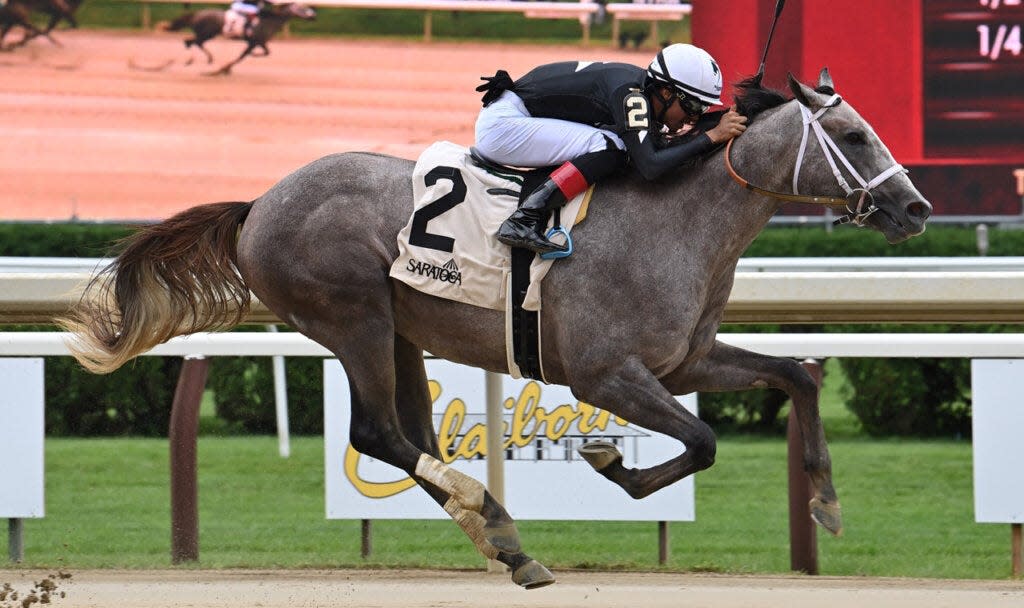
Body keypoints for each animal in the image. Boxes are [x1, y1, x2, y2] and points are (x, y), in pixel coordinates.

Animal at [61, 72, 929, 585]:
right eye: (854, 137)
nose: (915, 207)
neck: (678, 221)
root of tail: (259, 203)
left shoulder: (685, 360)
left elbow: (796, 374)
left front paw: (825, 502)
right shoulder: (606, 372)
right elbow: (704, 440)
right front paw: (612, 463)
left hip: (399, 330)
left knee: (411, 433)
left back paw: (504, 540)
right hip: (353, 318)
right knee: (378, 432)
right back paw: (495, 520)